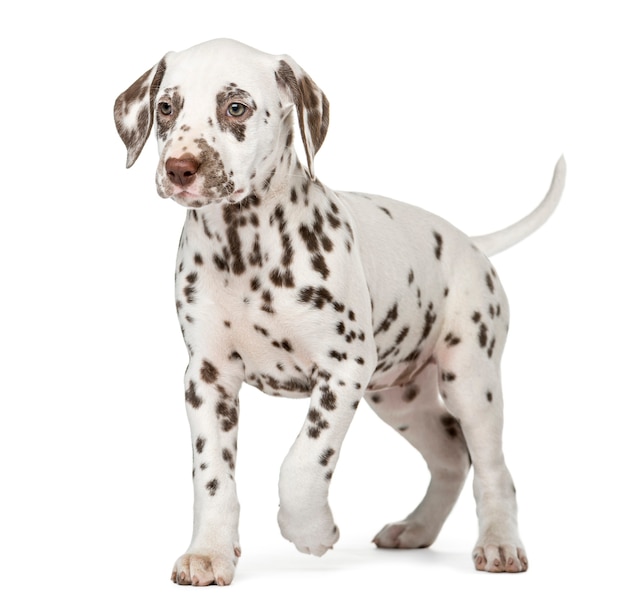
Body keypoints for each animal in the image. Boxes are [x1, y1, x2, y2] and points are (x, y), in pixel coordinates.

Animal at [113, 37, 564, 584]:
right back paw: (416, 528)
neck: (246, 248)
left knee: (493, 467)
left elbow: (303, 462)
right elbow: (213, 475)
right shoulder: (207, 378)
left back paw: (499, 544)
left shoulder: (343, 370)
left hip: (472, 381)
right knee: (451, 453)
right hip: (400, 398)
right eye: (165, 108)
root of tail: (472, 243)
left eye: (236, 108)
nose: (180, 169)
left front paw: (312, 532)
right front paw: (209, 553)